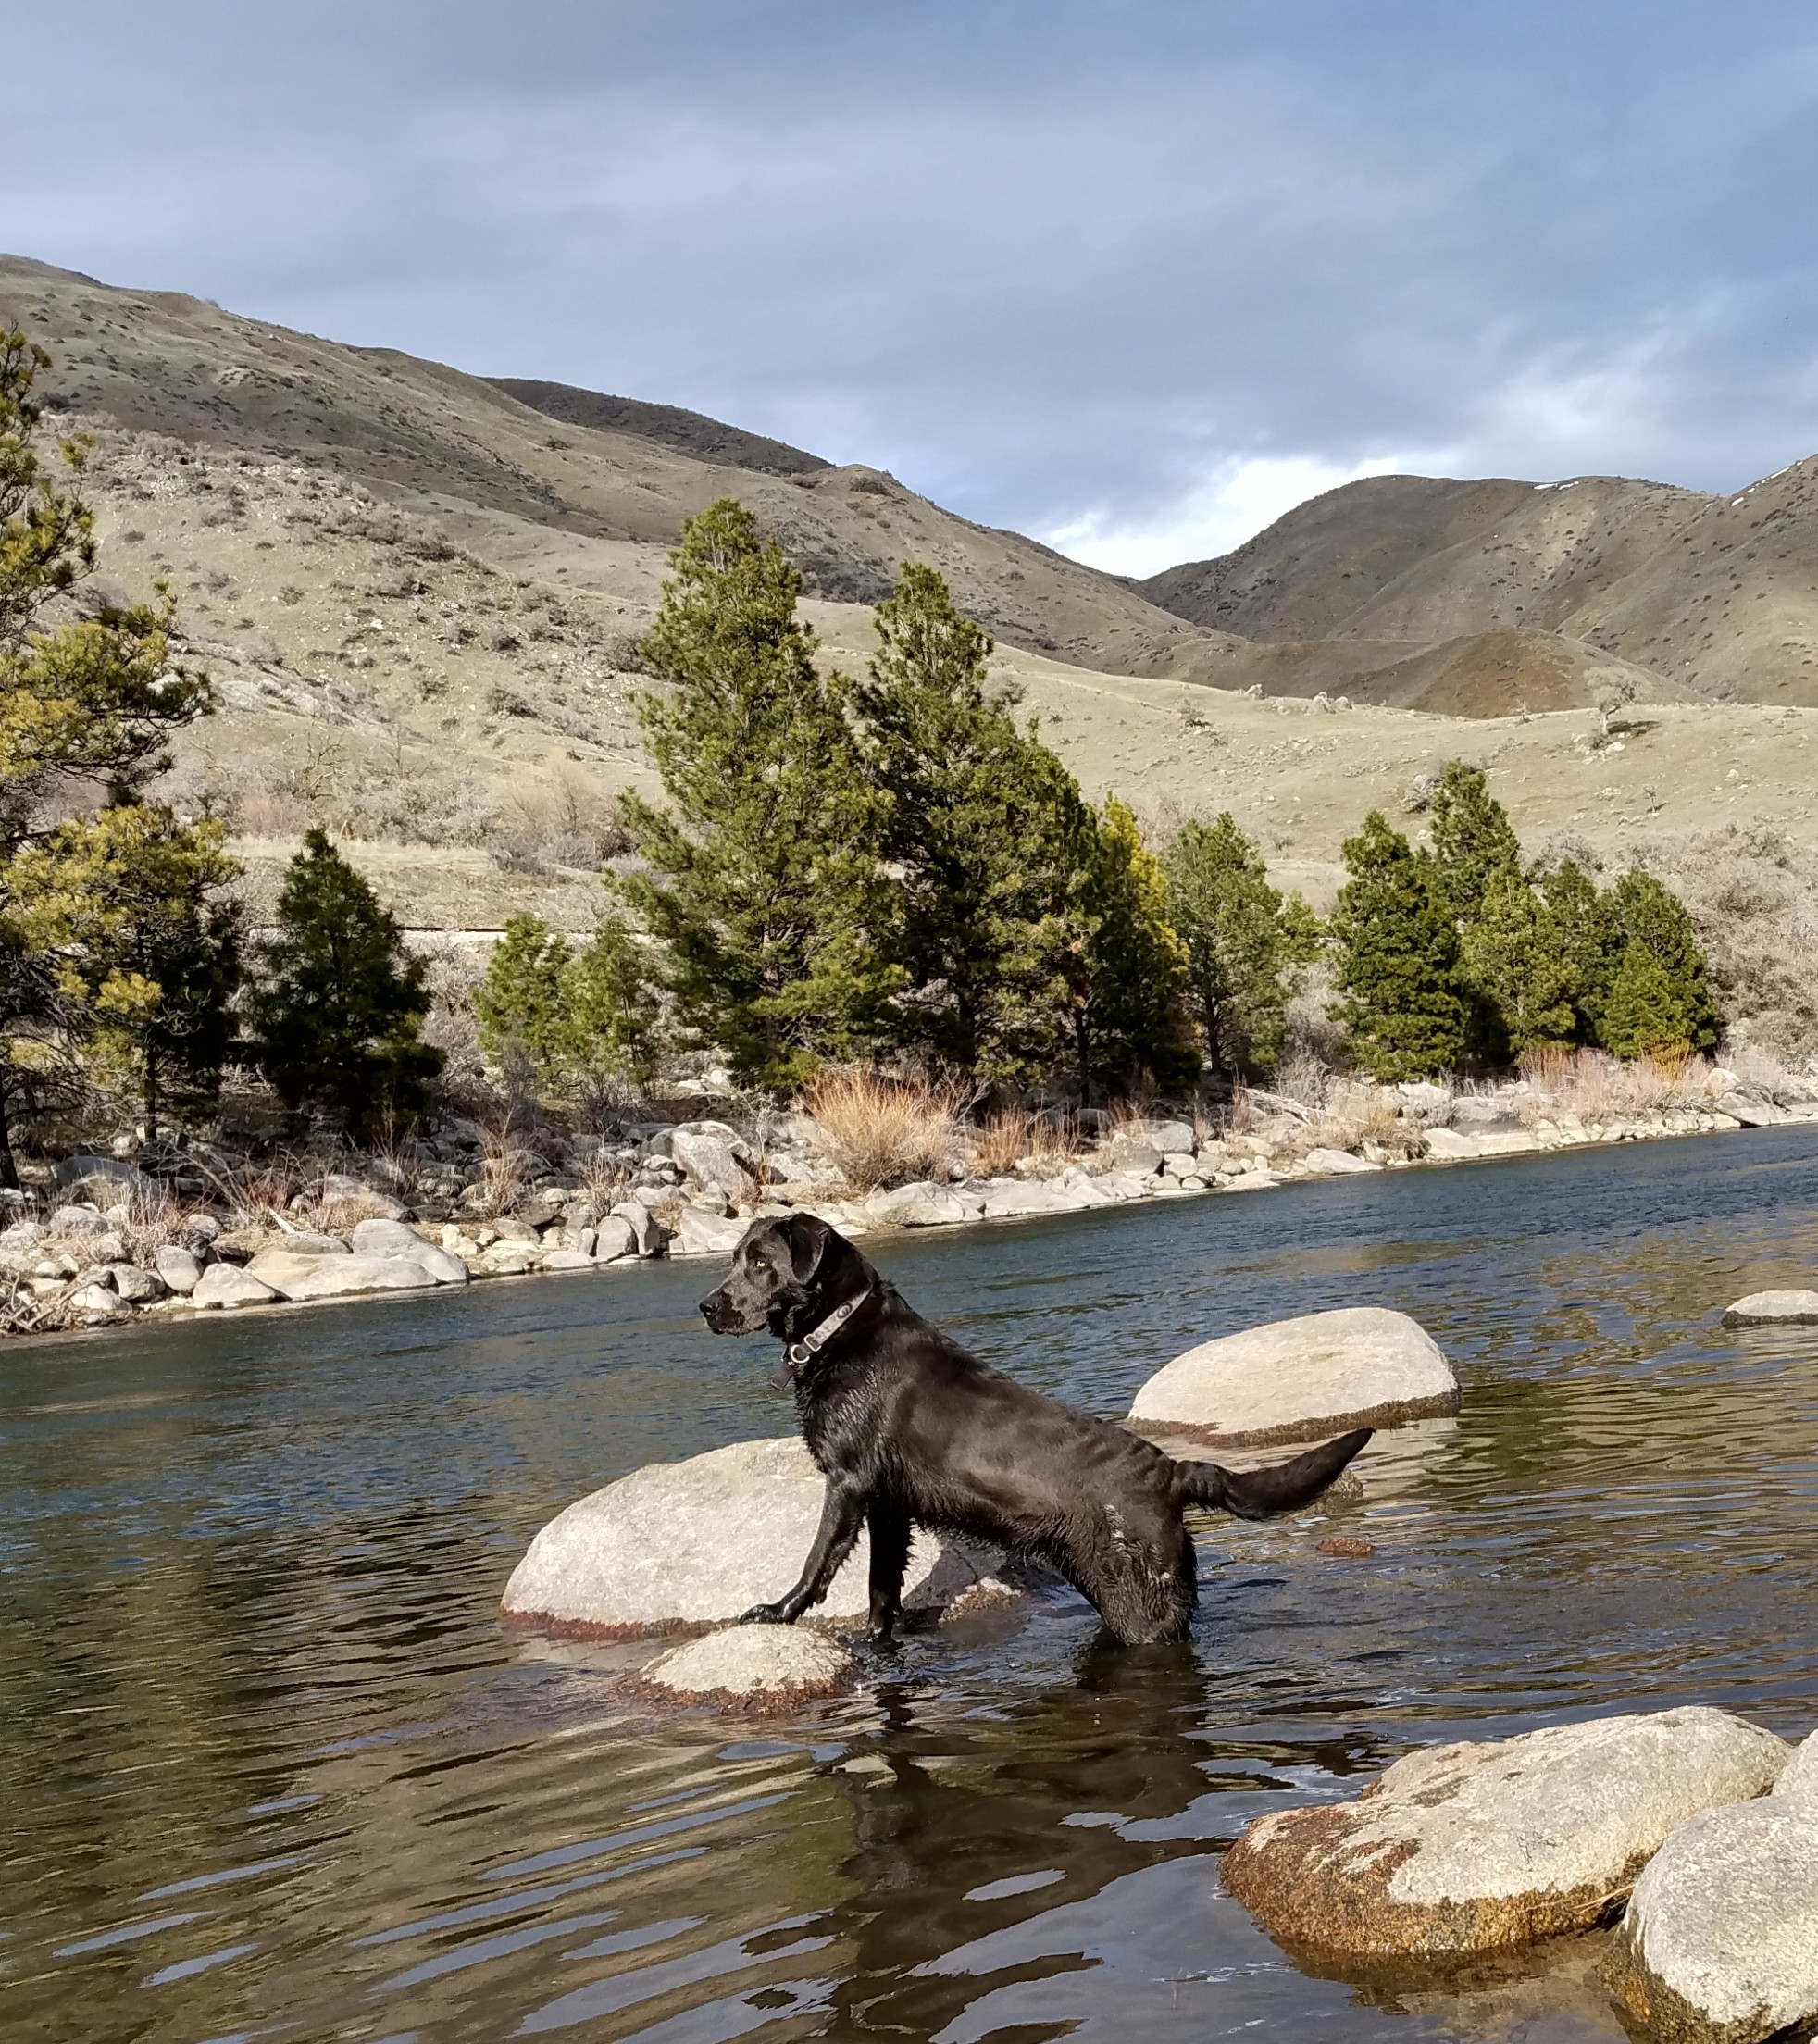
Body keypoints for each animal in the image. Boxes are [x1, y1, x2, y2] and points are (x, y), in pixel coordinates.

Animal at [695, 1210, 1357, 1643]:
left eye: (760, 1262)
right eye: (733, 1260)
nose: (706, 1307)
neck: (840, 1326)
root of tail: (1171, 1472)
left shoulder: (849, 1481)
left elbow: (819, 1560)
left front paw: (778, 1612)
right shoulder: (887, 1505)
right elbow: (882, 1586)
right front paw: (881, 1641)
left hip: (1138, 1601)